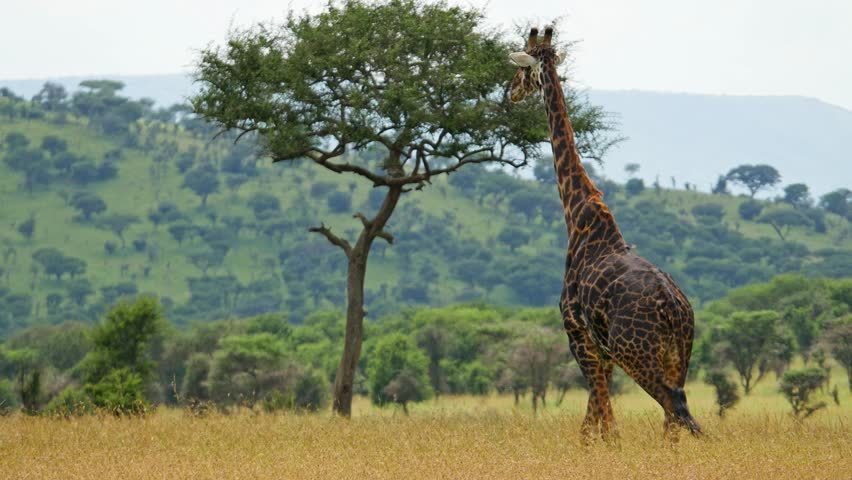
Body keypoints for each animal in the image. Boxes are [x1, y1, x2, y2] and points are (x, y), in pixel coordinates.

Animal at [509, 27, 701, 442]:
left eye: (522, 70)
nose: (510, 92)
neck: (578, 216)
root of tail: (675, 309)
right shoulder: (602, 347)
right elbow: (596, 411)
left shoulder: (576, 332)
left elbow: (599, 415)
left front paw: (606, 445)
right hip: (678, 353)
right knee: (674, 415)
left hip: (636, 351)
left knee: (677, 408)